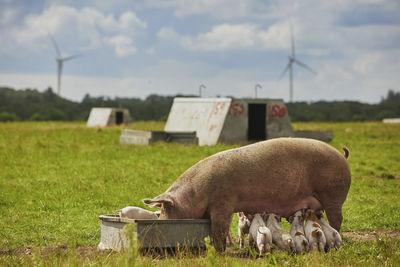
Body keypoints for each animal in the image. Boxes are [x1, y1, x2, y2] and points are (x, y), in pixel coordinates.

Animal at [142, 138, 348, 251]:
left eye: (165, 209)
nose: (161, 222)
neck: (196, 193)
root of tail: (342, 156)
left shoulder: (223, 203)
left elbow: (220, 228)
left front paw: (220, 251)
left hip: (334, 195)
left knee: (337, 219)